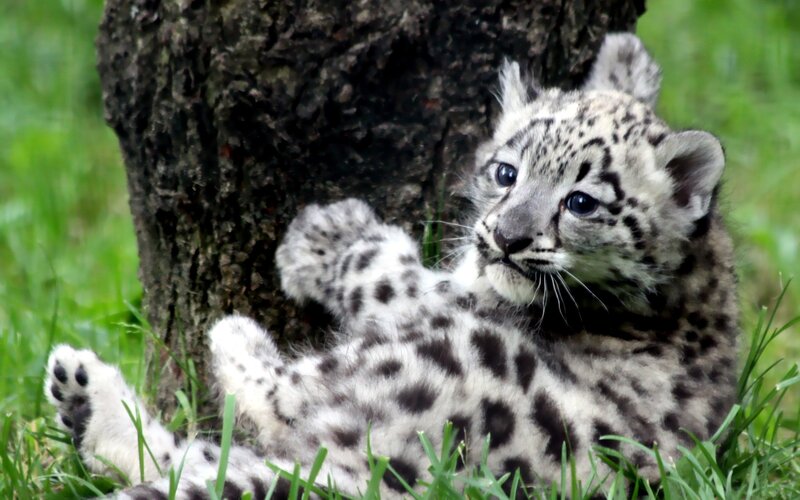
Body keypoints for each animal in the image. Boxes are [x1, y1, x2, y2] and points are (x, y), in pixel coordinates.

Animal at [44, 33, 739, 499]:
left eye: (581, 201)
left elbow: (383, 271)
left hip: (436, 353)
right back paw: (84, 398)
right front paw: (625, 59)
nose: (506, 238)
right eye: (506, 172)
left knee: (273, 404)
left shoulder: (450, 297)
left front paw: (324, 237)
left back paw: (218, 341)